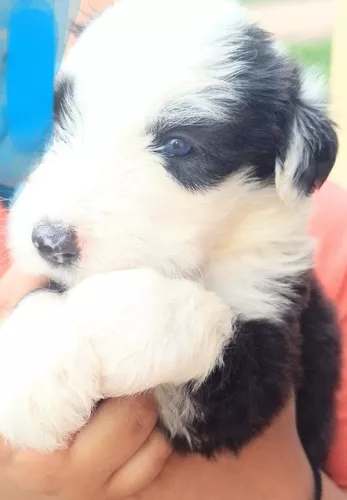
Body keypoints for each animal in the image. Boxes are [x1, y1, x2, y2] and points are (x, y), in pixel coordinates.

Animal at [1, 0, 342, 468]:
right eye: (57, 124)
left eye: (180, 146)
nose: (49, 241)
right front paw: (31, 375)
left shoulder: (271, 347)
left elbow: (211, 318)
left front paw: (111, 315)